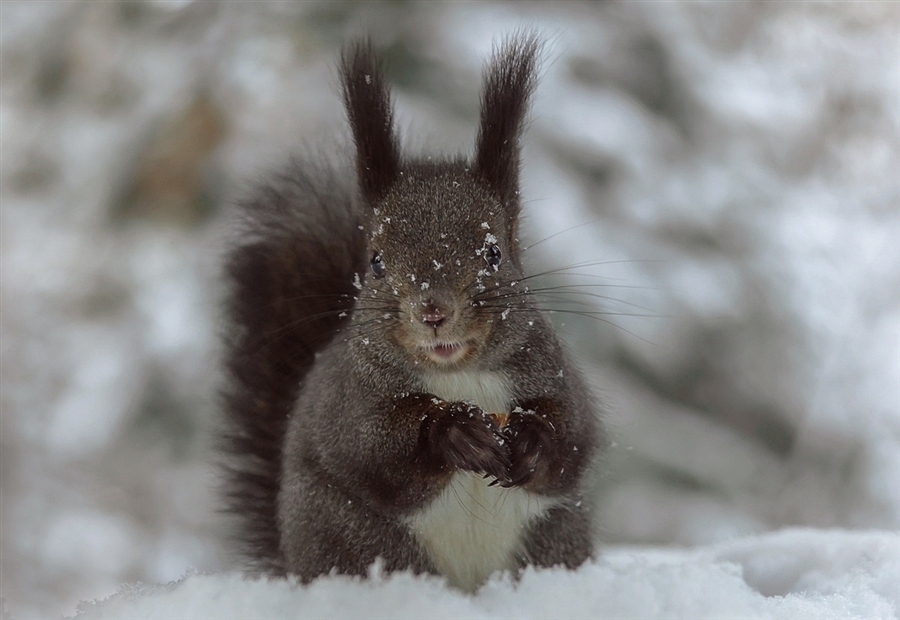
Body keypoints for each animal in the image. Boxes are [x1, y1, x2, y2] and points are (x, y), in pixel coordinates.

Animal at [220, 32, 604, 592]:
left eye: (495, 253)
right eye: (376, 261)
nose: (433, 311)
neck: (460, 376)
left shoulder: (552, 370)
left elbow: (575, 433)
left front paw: (533, 438)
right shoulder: (348, 398)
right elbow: (373, 451)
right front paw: (451, 432)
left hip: (553, 538)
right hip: (360, 542)